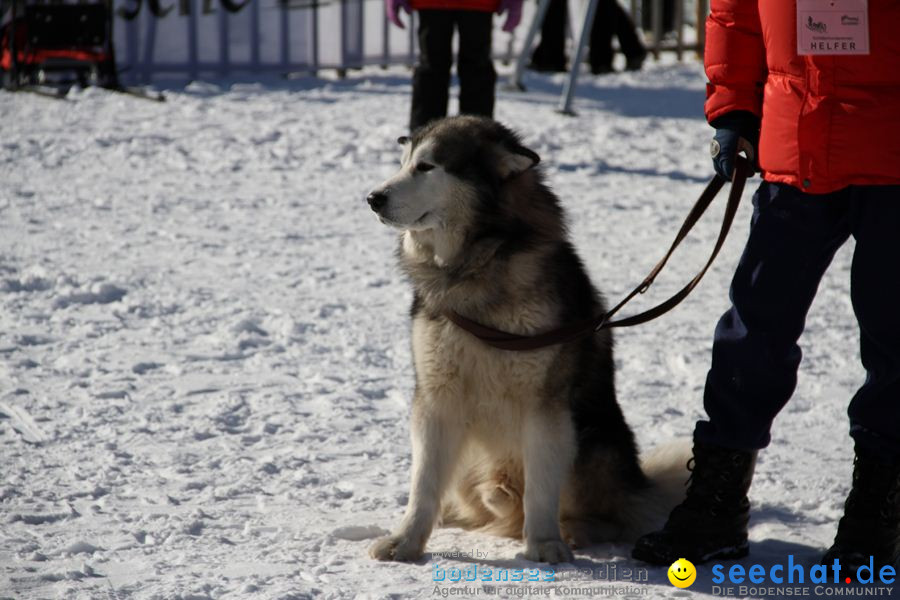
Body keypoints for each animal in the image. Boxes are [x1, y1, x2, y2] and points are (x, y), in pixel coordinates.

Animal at [364, 116, 684, 564]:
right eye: (403, 162)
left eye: (426, 167)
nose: (373, 198)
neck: (476, 265)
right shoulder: (436, 396)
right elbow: (424, 482)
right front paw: (406, 541)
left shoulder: (545, 404)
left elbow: (542, 487)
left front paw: (545, 543)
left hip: (592, 443)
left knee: (609, 515)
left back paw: (575, 529)